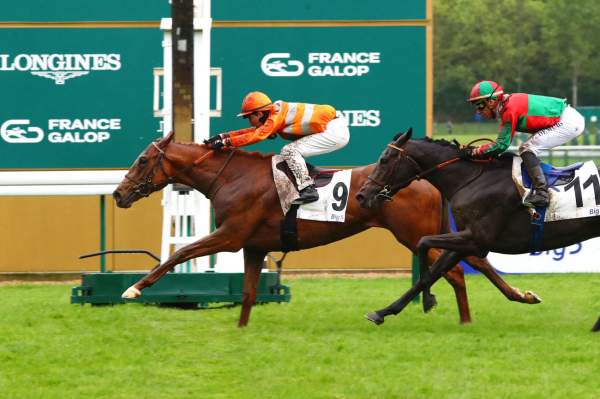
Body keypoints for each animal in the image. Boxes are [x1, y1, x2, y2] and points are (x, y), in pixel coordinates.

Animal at [111, 133, 540, 326]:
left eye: (143, 160)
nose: (118, 193)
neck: (231, 177)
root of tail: (427, 180)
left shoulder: (231, 236)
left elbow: (180, 253)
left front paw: (134, 288)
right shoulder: (252, 245)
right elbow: (247, 294)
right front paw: (241, 330)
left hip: (410, 232)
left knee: (459, 269)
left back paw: (481, 311)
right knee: (468, 264)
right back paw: (502, 302)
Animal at [356, 128, 600, 332]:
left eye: (384, 159)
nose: (361, 195)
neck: (471, 180)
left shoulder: (476, 240)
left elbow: (423, 243)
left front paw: (427, 300)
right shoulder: (465, 239)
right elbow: (434, 271)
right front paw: (383, 312)